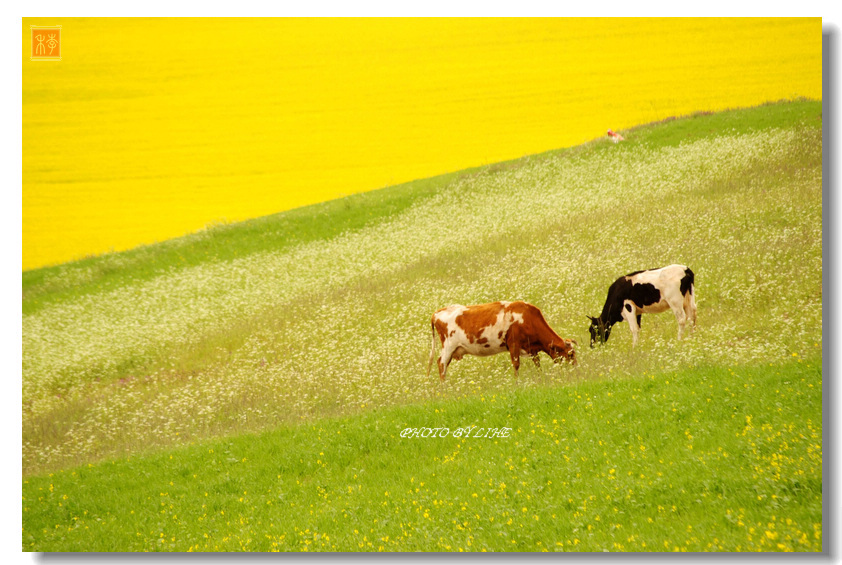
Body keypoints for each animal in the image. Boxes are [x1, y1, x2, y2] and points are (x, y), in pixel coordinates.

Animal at [426, 300, 576, 378]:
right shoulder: (514, 344)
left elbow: (537, 364)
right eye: (570, 354)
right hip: (448, 346)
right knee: (441, 364)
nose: (576, 370)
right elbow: (516, 365)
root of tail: (437, 312)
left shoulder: (531, 348)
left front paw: (541, 378)